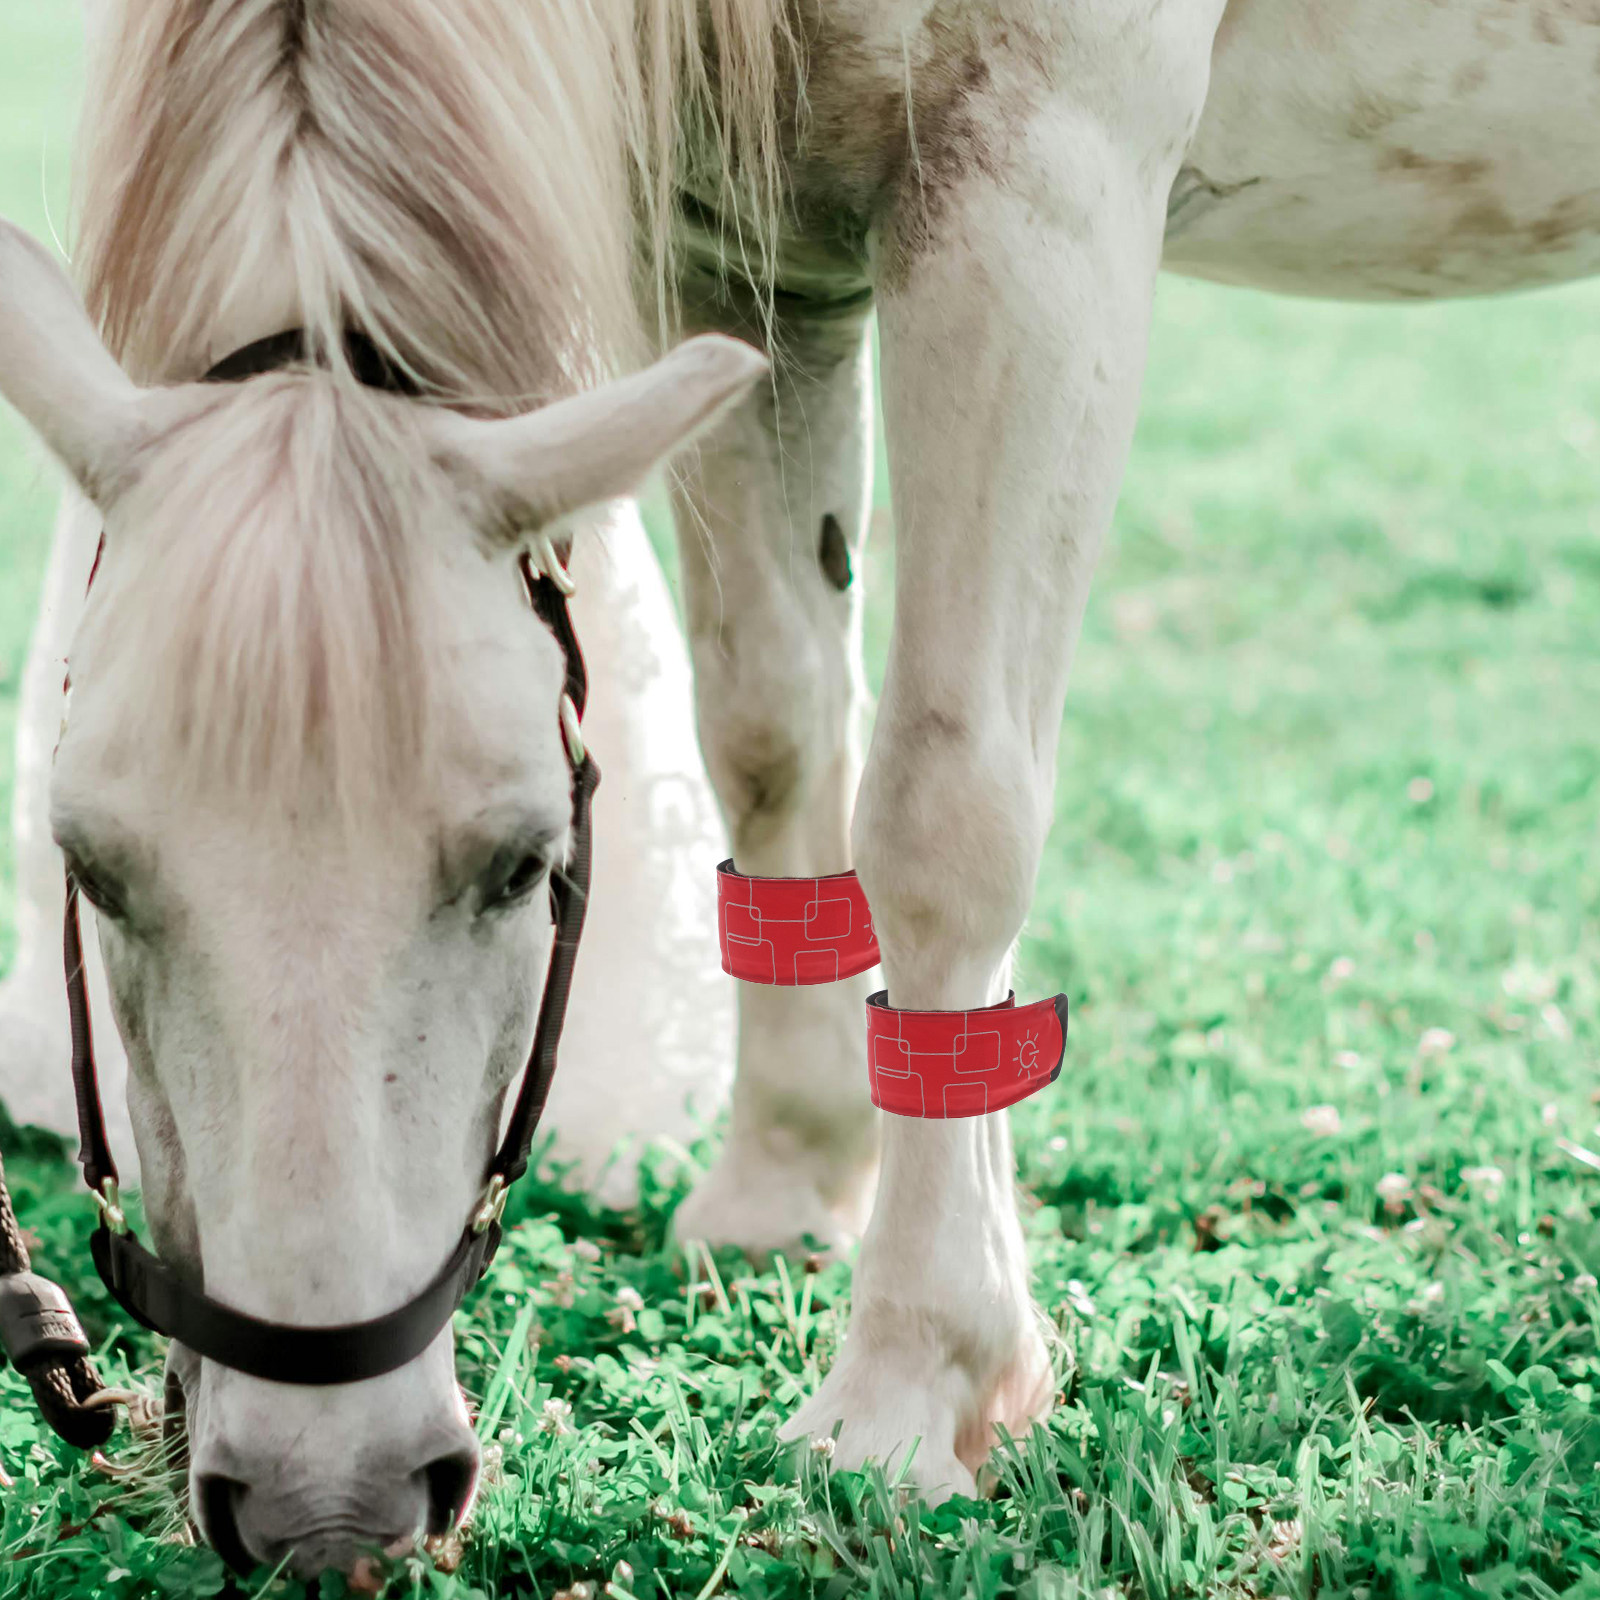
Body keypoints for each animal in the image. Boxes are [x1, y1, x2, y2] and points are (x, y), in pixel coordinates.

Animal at [1, 0, 1596, 1578]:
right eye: (89, 870)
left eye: (523, 865)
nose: (320, 1503)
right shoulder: (738, 254)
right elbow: (771, 732)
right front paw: (783, 1188)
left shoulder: (1041, 185)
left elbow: (945, 805)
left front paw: (917, 1379)